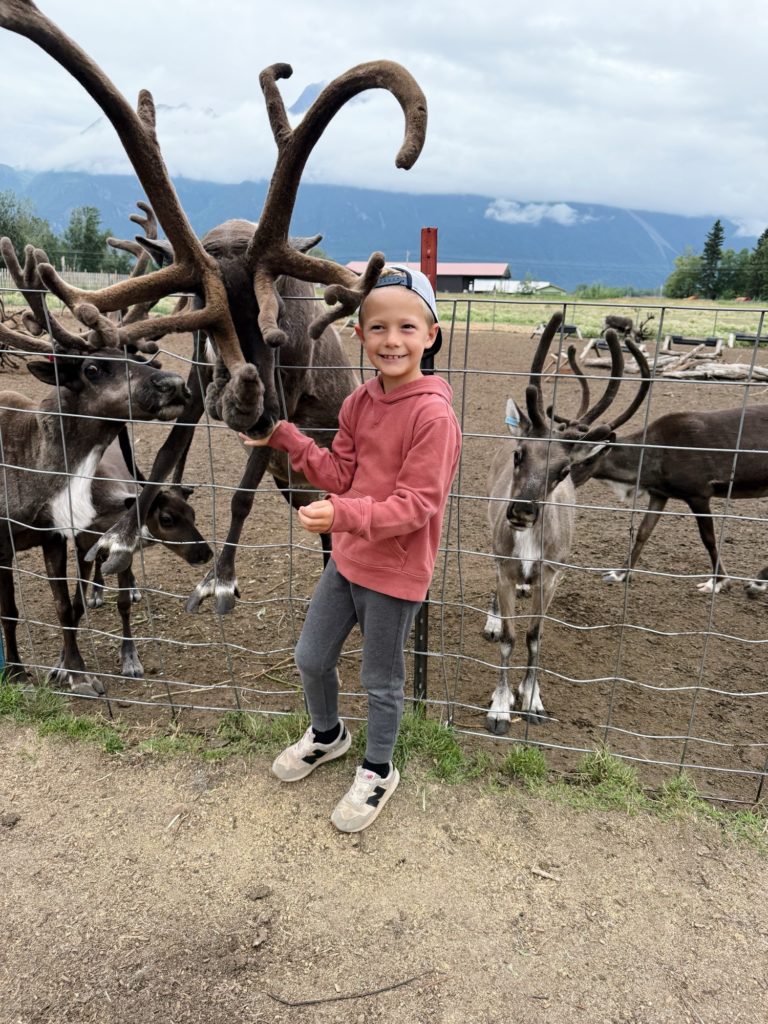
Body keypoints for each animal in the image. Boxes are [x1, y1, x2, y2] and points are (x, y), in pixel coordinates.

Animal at [0, 0, 428, 615]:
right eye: (201, 303)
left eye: (276, 310)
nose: (248, 407)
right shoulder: (198, 385)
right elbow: (159, 463)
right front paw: (121, 540)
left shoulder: (281, 396)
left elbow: (241, 497)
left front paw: (219, 578)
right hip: (293, 479)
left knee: (333, 526)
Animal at [483, 314, 650, 730]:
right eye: (520, 455)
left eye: (563, 471)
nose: (522, 511)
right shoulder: (505, 566)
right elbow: (510, 636)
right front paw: (500, 706)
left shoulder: (552, 575)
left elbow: (535, 636)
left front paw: (532, 698)